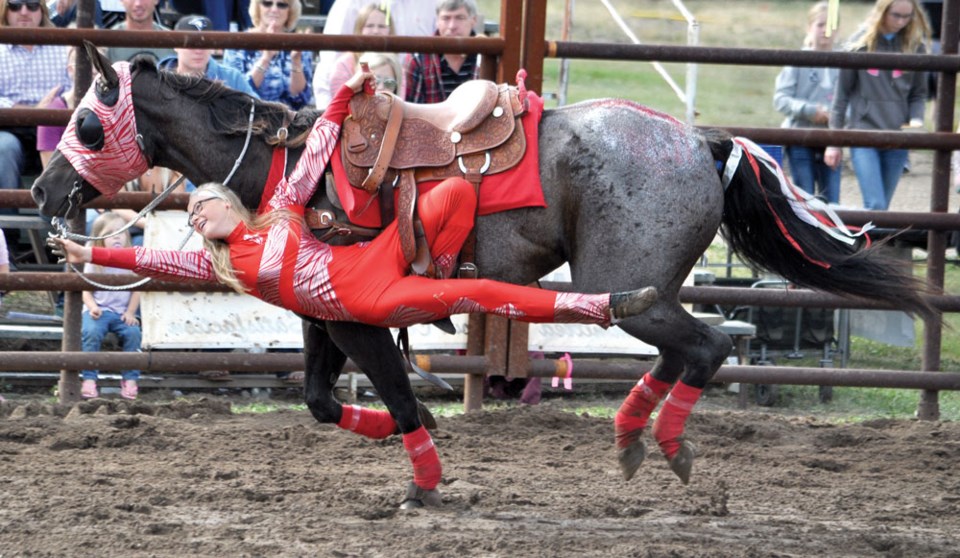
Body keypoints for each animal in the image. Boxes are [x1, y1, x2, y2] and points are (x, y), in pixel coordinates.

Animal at [33, 47, 932, 512]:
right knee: (685, 350)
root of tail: (703, 144)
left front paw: (421, 466)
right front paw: (410, 431)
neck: (289, 166)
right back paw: (631, 436)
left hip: (631, 284)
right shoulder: (320, 316)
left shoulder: (356, 316)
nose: (43, 191)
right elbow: (323, 401)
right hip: (648, 292)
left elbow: (389, 392)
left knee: (704, 347)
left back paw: (663, 444)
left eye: (87, 122)